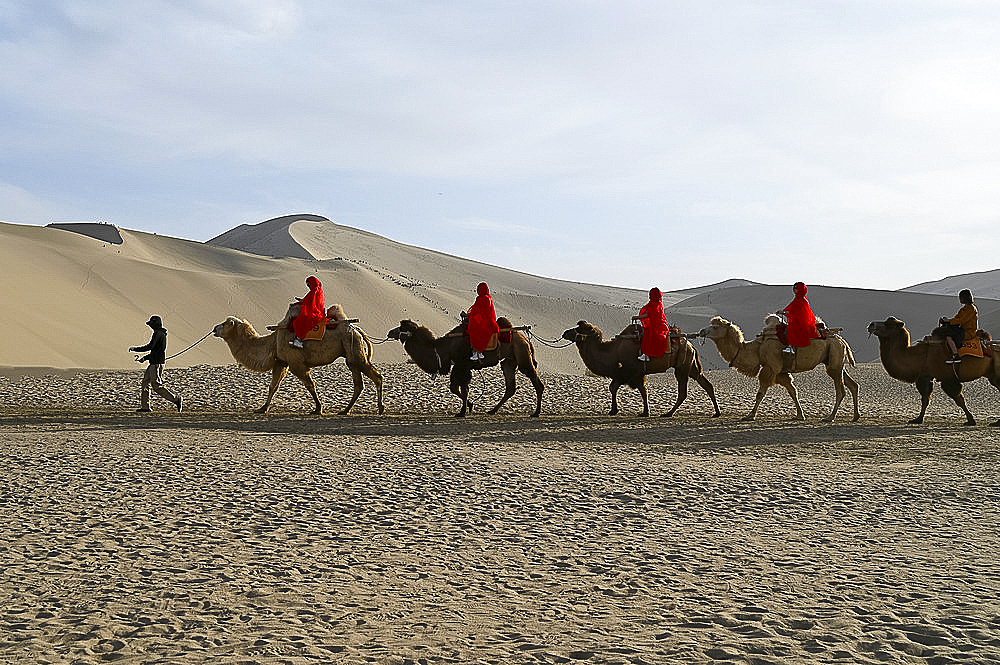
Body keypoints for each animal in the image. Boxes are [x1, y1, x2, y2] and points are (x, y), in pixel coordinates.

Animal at [213, 304, 384, 412]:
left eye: (227, 323)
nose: (214, 328)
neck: (273, 342)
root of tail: (356, 329)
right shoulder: (281, 362)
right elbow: (273, 386)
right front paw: (262, 408)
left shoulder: (296, 363)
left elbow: (310, 385)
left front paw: (318, 409)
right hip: (351, 352)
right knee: (359, 383)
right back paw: (345, 410)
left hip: (353, 348)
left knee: (376, 376)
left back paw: (380, 408)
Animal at [386, 316, 544, 416]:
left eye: (402, 327)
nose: (389, 332)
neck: (442, 348)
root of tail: (525, 339)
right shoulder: (461, 367)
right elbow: (458, 388)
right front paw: (469, 407)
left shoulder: (461, 365)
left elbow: (460, 388)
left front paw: (463, 411)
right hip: (509, 361)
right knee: (510, 386)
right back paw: (492, 411)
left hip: (522, 356)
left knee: (536, 381)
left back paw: (536, 413)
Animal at [564, 320, 720, 418]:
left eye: (579, 329)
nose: (565, 332)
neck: (613, 351)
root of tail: (690, 345)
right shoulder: (622, 373)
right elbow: (613, 388)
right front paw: (614, 410)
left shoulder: (635, 371)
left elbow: (642, 390)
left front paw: (645, 412)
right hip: (691, 366)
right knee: (707, 384)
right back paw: (716, 412)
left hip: (682, 367)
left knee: (683, 392)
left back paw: (668, 413)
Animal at [696, 316, 860, 420]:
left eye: (715, 327)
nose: (702, 331)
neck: (757, 349)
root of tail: (841, 340)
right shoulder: (781, 371)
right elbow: (793, 391)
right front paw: (800, 415)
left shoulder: (770, 367)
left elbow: (760, 393)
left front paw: (750, 415)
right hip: (835, 361)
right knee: (853, 385)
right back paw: (855, 416)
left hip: (834, 357)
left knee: (841, 390)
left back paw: (830, 417)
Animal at [868, 316, 1000, 426]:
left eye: (888, 324)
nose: (871, 324)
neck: (920, 356)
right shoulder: (925, 377)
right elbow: (925, 399)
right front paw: (917, 419)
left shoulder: (948, 378)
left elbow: (959, 399)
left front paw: (971, 420)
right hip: (992, 374)